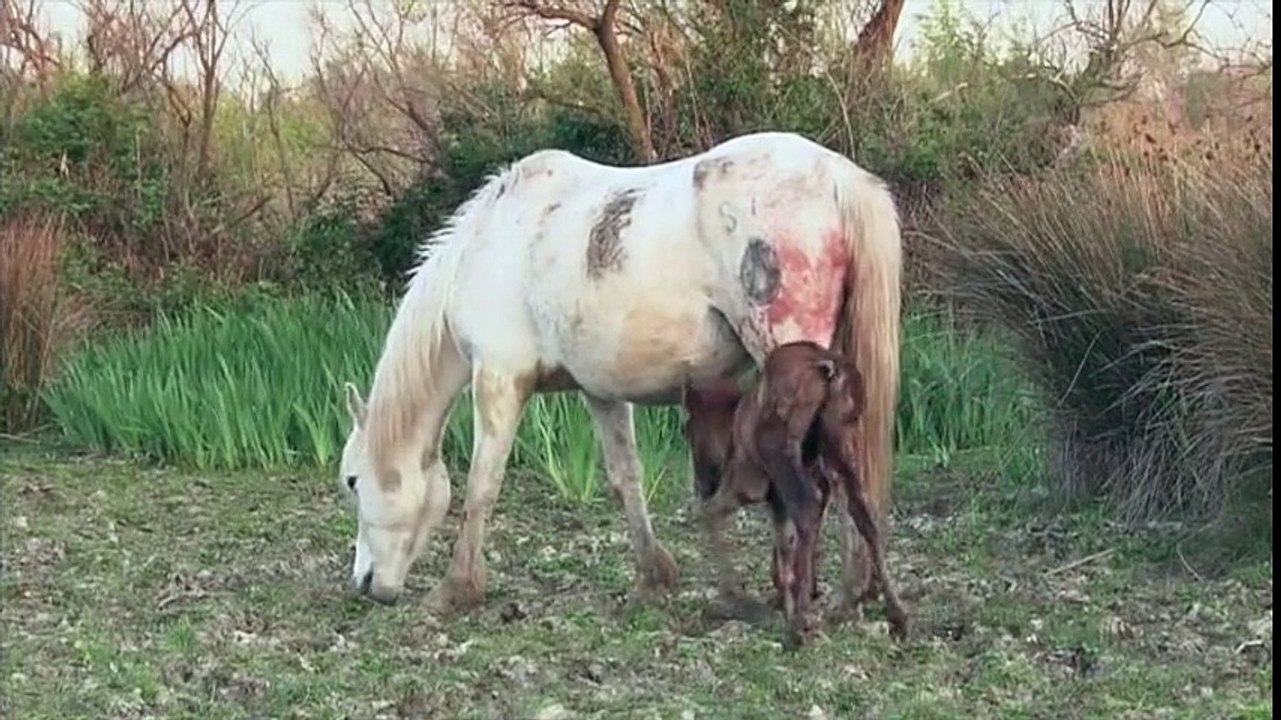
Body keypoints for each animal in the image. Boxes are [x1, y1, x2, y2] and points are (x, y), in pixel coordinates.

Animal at [336, 131, 903, 619]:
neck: (491, 243)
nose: (363, 583)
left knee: (820, 480)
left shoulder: (498, 378)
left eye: (352, 480)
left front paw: (456, 588)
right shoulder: (601, 391)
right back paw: (849, 588)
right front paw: (653, 576)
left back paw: (817, 589)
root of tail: (836, 176)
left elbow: (482, 485)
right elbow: (625, 478)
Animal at [681, 340, 911, 648]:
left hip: (780, 448)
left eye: (687, 430)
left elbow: (710, 514)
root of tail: (829, 368)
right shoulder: (777, 500)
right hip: (839, 444)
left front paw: (736, 599)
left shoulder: (747, 485)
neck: (730, 423)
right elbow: (785, 546)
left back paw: (801, 625)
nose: (701, 480)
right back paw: (898, 615)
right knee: (864, 514)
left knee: (808, 506)